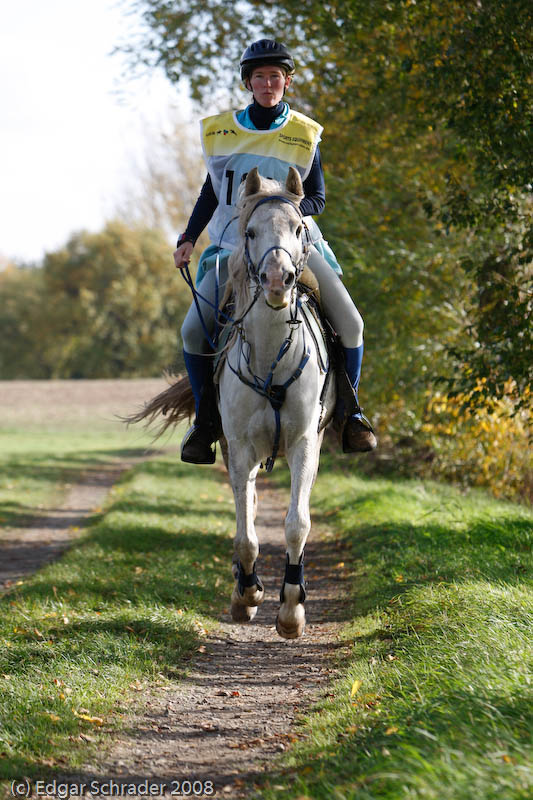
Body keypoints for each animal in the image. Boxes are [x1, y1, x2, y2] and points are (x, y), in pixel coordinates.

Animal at [129, 167, 334, 636]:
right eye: (251, 232)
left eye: (299, 228)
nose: (277, 281)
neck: (272, 356)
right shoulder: (238, 447)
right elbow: (245, 535)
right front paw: (247, 595)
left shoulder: (304, 444)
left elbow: (297, 524)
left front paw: (291, 611)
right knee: (250, 508)